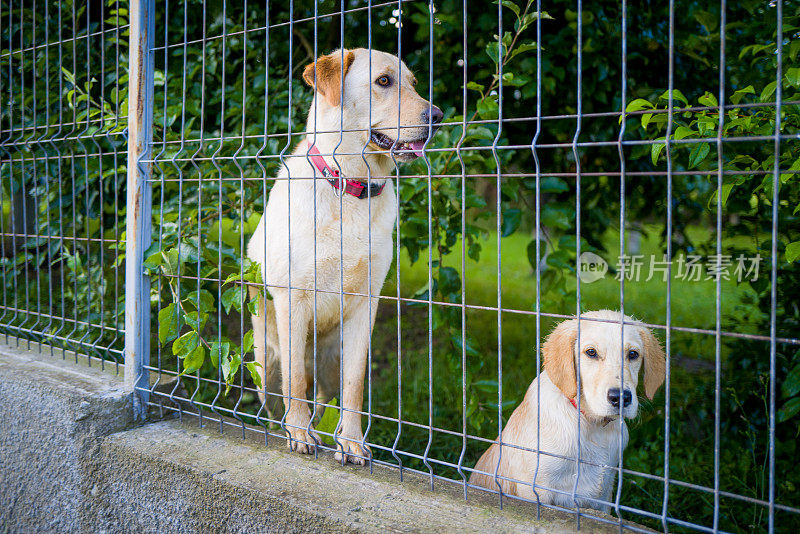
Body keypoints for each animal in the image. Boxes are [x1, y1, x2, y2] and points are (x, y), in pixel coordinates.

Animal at [247, 49, 444, 464]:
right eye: (383, 81)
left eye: (413, 83)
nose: (437, 116)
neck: (350, 187)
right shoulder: (293, 300)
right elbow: (294, 383)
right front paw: (298, 434)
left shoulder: (366, 305)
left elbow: (355, 386)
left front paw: (351, 441)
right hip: (265, 363)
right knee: (280, 395)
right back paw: (285, 427)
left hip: (330, 361)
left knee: (323, 395)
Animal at [472, 312, 664, 512]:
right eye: (591, 352)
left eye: (633, 354)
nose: (621, 398)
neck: (592, 426)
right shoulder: (535, 489)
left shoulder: (604, 495)